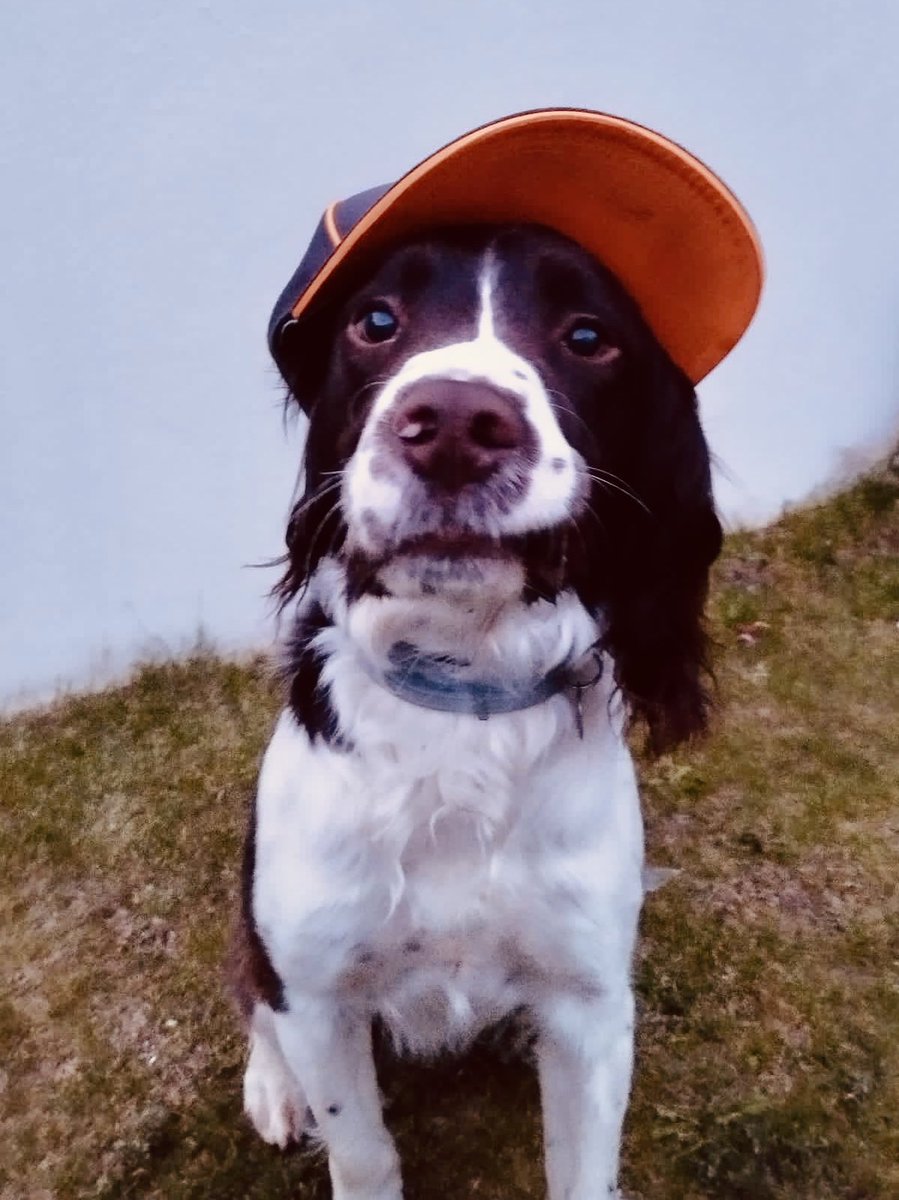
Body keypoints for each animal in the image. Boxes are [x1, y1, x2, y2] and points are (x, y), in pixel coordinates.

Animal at [228, 211, 724, 1195]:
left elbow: (583, 1168)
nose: (456, 423)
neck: (458, 698)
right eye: (376, 321)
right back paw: (273, 1087)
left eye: (587, 337)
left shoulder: (588, 1002)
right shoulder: (319, 993)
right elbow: (362, 1151)